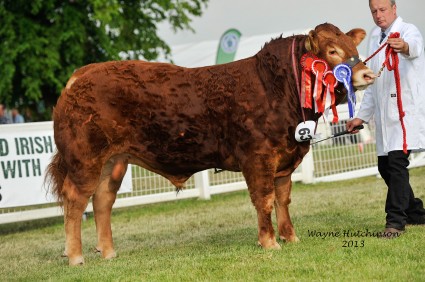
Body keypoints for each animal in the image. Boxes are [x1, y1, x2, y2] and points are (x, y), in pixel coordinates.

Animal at [44, 22, 372, 264]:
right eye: (332, 51)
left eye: (353, 48)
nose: (367, 73)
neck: (276, 87)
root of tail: (82, 74)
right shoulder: (258, 158)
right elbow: (264, 200)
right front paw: (269, 242)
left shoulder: (284, 159)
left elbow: (283, 199)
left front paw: (290, 237)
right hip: (85, 159)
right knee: (75, 199)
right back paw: (75, 257)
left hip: (114, 161)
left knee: (102, 200)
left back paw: (109, 252)